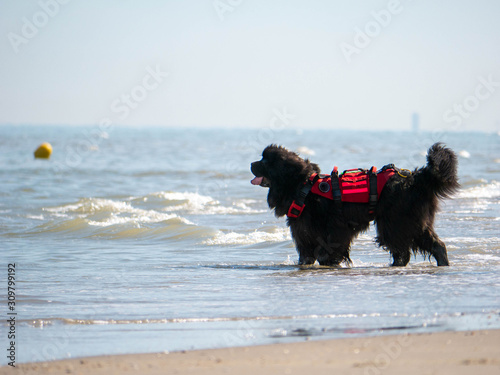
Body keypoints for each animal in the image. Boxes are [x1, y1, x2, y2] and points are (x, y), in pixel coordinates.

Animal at [252, 143, 458, 268]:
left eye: (264, 161)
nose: (251, 164)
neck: (303, 186)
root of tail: (416, 178)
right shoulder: (303, 230)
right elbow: (306, 253)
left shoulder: (336, 227)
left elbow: (327, 249)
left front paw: (330, 262)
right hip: (413, 222)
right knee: (436, 245)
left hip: (394, 223)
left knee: (403, 251)